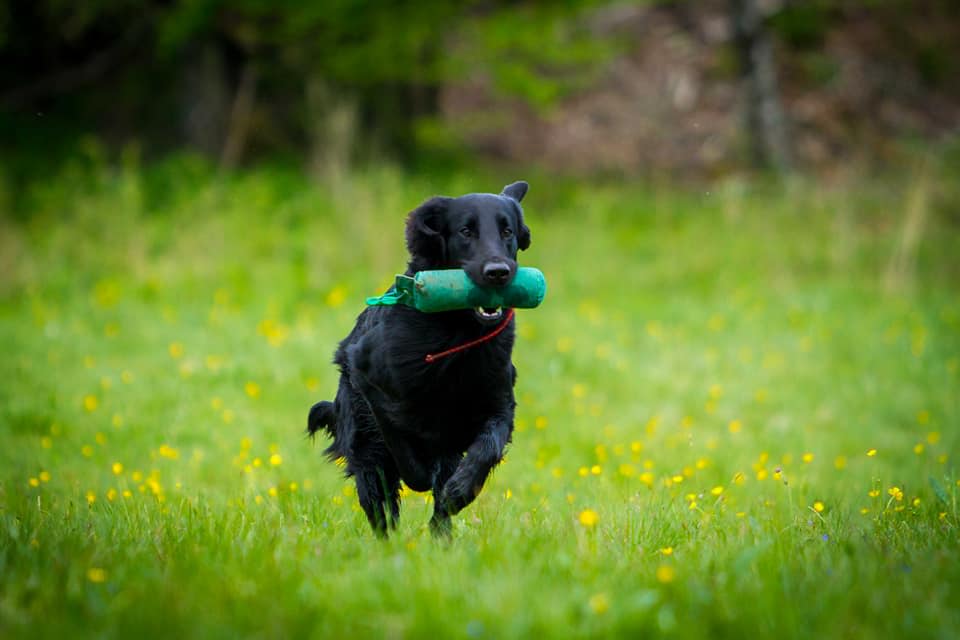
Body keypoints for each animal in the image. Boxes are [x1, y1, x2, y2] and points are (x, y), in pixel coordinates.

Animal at [307, 181, 532, 536]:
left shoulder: (497, 403)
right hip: (362, 442)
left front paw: (461, 490)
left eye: (507, 231)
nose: (498, 272)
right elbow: (398, 441)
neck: (457, 332)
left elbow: (488, 446)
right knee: (380, 505)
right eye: (466, 231)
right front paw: (420, 477)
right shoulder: (368, 379)